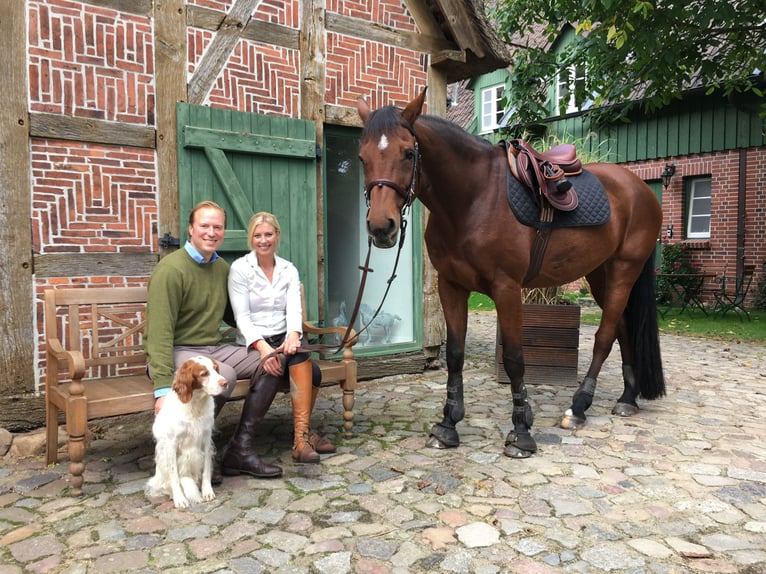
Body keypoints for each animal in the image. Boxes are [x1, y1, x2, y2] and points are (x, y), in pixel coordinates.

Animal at [145, 358, 226, 510]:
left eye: (215, 369)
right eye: (204, 373)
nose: (225, 382)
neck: (195, 405)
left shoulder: (206, 440)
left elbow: (206, 469)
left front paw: (207, 491)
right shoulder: (171, 444)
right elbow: (174, 476)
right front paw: (180, 499)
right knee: (166, 484)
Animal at [360, 89, 664, 460]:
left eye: (407, 152)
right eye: (362, 157)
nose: (381, 227)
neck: (473, 199)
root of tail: (640, 188)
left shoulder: (507, 289)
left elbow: (515, 358)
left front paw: (521, 432)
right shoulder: (452, 287)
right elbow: (455, 354)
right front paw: (448, 424)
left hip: (624, 269)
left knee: (605, 337)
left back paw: (579, 407)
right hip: (599, 275)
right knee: (622, 329)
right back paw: (627, 398)